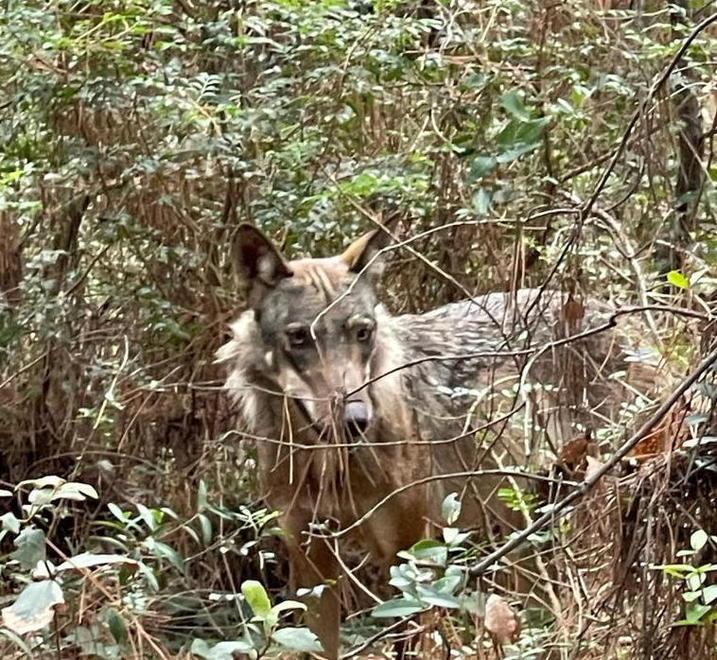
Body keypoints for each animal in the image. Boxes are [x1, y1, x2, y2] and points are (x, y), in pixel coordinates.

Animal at [216, 219, 642, 659]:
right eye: (299, 337)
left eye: (363, 332)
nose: (356, 419)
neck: (330, 467)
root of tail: (624, 316)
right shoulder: (311, 566)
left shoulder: (409, 555)